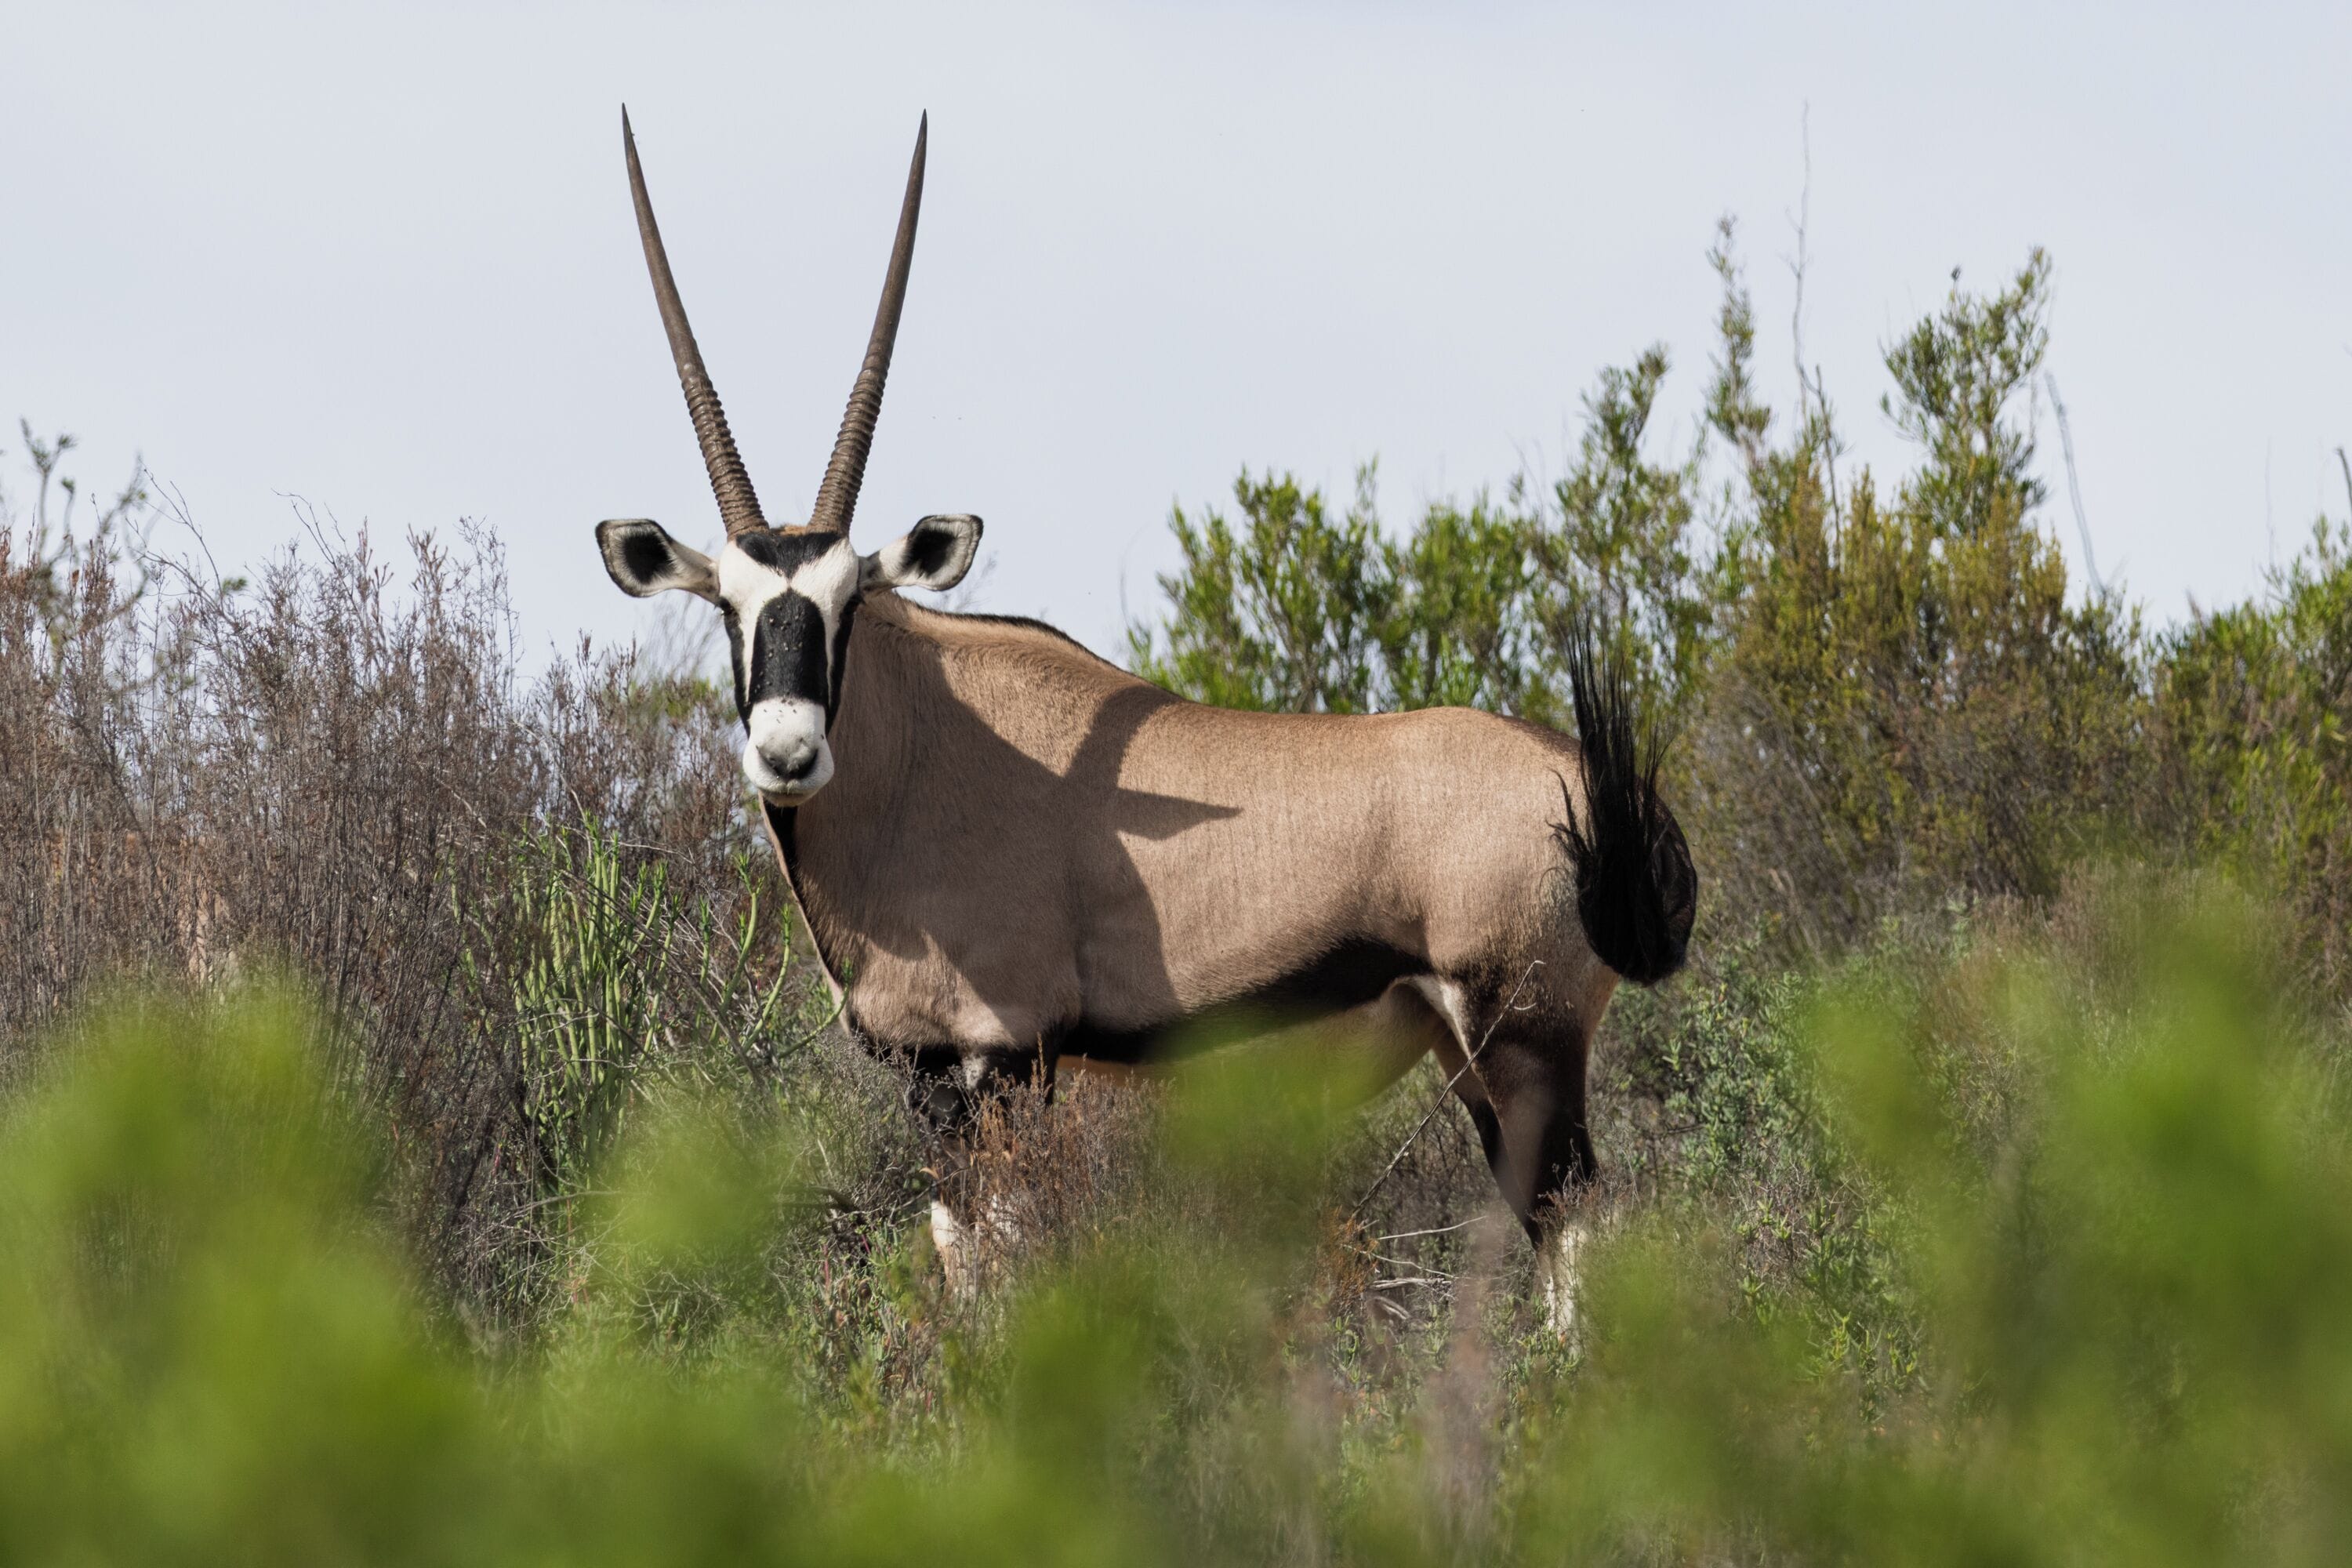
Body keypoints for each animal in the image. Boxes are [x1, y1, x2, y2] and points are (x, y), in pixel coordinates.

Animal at [594, 111, 1696, 1331]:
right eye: (729, 608)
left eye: (847, 605)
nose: (788, 749)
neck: (919, 753)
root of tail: (1589, 785)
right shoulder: (932, 1082)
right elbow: (961, 1261)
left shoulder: (1006, 1058)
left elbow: (1004, 1275)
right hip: (1470, 1054)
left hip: (1526, 1040)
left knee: (1578, 1238)